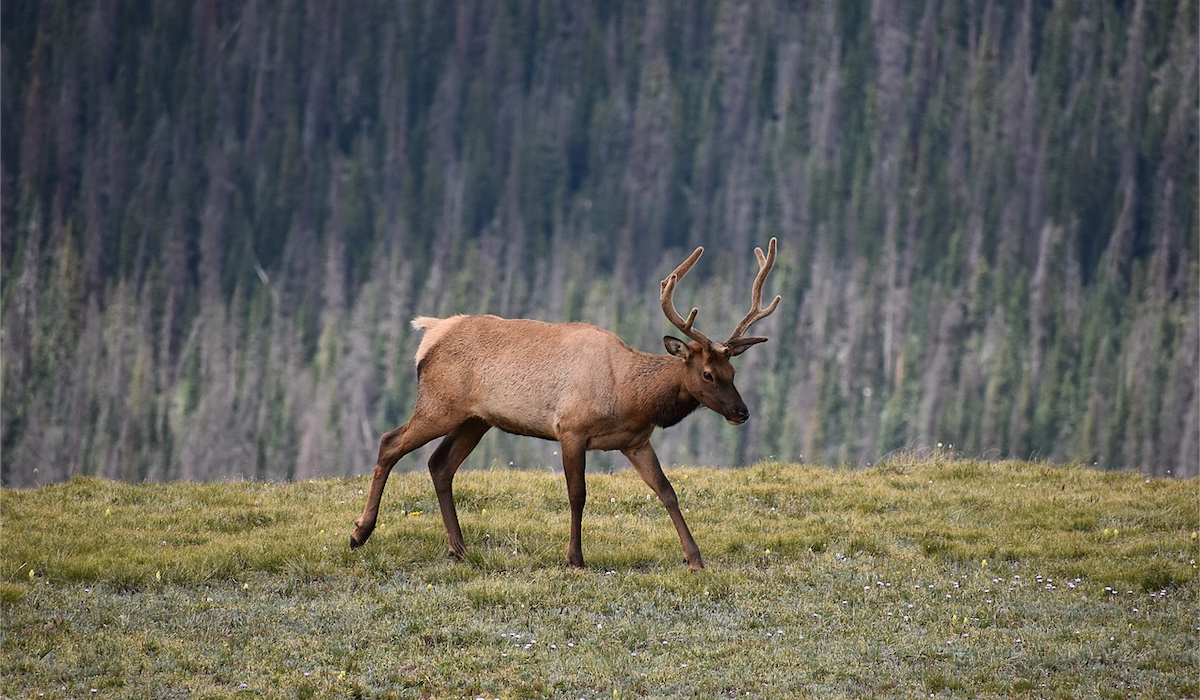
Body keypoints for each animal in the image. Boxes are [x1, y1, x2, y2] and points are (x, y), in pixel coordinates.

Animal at [350, 240, 777, 569]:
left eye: (732, 371)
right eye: (707, 374)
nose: (742, 412)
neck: (629, 395)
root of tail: (430, 332)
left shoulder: (635, 440)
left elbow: (666, 490)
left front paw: (695, 557)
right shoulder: (571, 429)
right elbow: (578, 494)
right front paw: (575, 558)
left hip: (475, 419)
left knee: (440, 465)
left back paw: (458, 548)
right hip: (439, 405)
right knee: (389, 442)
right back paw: (360, 533)